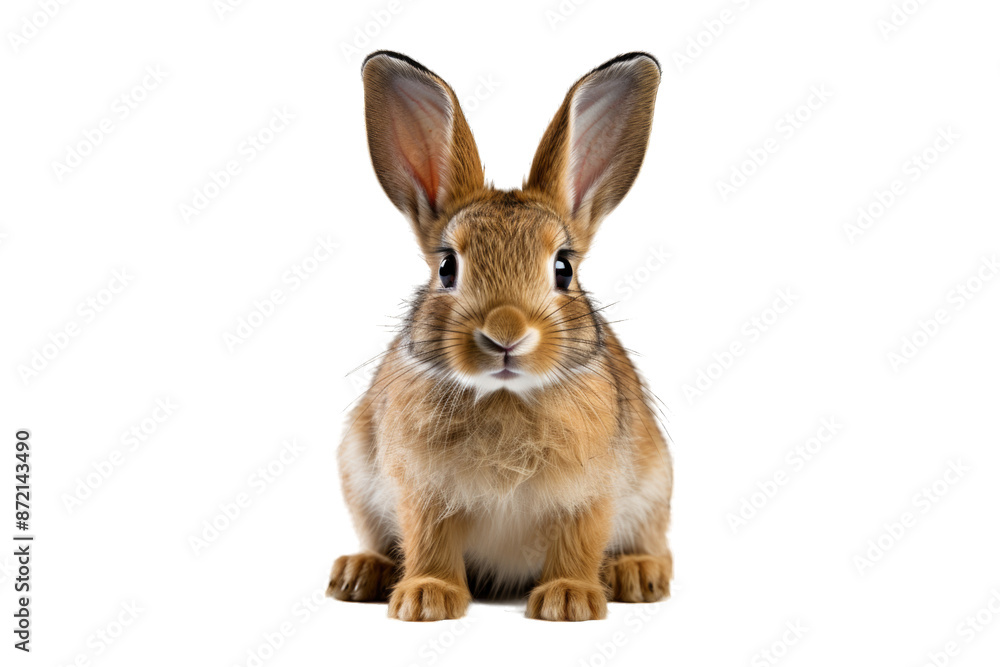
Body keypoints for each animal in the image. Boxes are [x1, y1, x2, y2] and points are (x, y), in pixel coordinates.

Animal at [328, 50, 673, 622]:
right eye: (447, 267)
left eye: (563, 269)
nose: (505, 333)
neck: (505, 395)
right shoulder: (421, 489)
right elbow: (429, 541)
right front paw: (426, 599)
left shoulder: (591, 492)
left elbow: (579, 540)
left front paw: (569, 600)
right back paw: (359, 573)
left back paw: (639, 574)